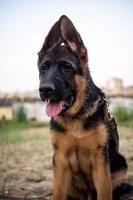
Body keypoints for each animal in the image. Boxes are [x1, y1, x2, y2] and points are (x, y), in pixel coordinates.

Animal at [37, 15, 133, 200]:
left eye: (66, 67)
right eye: (43, 68)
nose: (44, 90)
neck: (75, 115)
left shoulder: (100, 160)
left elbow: (105, 192)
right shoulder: (60, 161)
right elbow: (57, 193)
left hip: (121, 164)